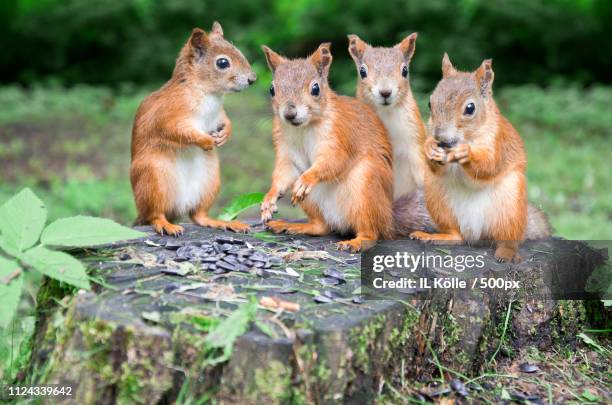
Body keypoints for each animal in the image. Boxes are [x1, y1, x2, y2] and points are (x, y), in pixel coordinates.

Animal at [130, 22, 255, 235]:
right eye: (222, 63)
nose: (252, 79)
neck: (208, 93)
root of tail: (179, 206)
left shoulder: (218, 114)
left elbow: (226, 120)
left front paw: (225, 134)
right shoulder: (166, 116)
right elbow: (176, 131)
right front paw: (206, 140)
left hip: (209, 182)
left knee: (198, 215)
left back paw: (222, 222)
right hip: (154, 179)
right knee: (154, 214)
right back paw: (165, 225)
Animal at [260, 44, 394, 252]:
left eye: (315, 89)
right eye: (272, 89)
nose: (289, 114)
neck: (304, 127)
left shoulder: (341, 135)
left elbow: (334, 161)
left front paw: (307, 179)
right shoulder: (285, 146)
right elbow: (285, 172)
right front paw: (270, 198)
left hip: (365, 188)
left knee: (371, 232)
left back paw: (357, 242)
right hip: (312, 201)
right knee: (321, 226)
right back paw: (292, 226)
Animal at [412, 53, 548, 262]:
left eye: (470, 108)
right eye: (430, 102)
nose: (440, 139)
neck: (466, 138)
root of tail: (475, 234)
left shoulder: (498, 142)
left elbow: (489, 165)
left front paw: (466, 154)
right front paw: (429, 148)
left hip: (510, 207)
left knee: (507, 239)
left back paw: (506, 253)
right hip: (437, 199)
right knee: (457, 234)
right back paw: (437, 236)